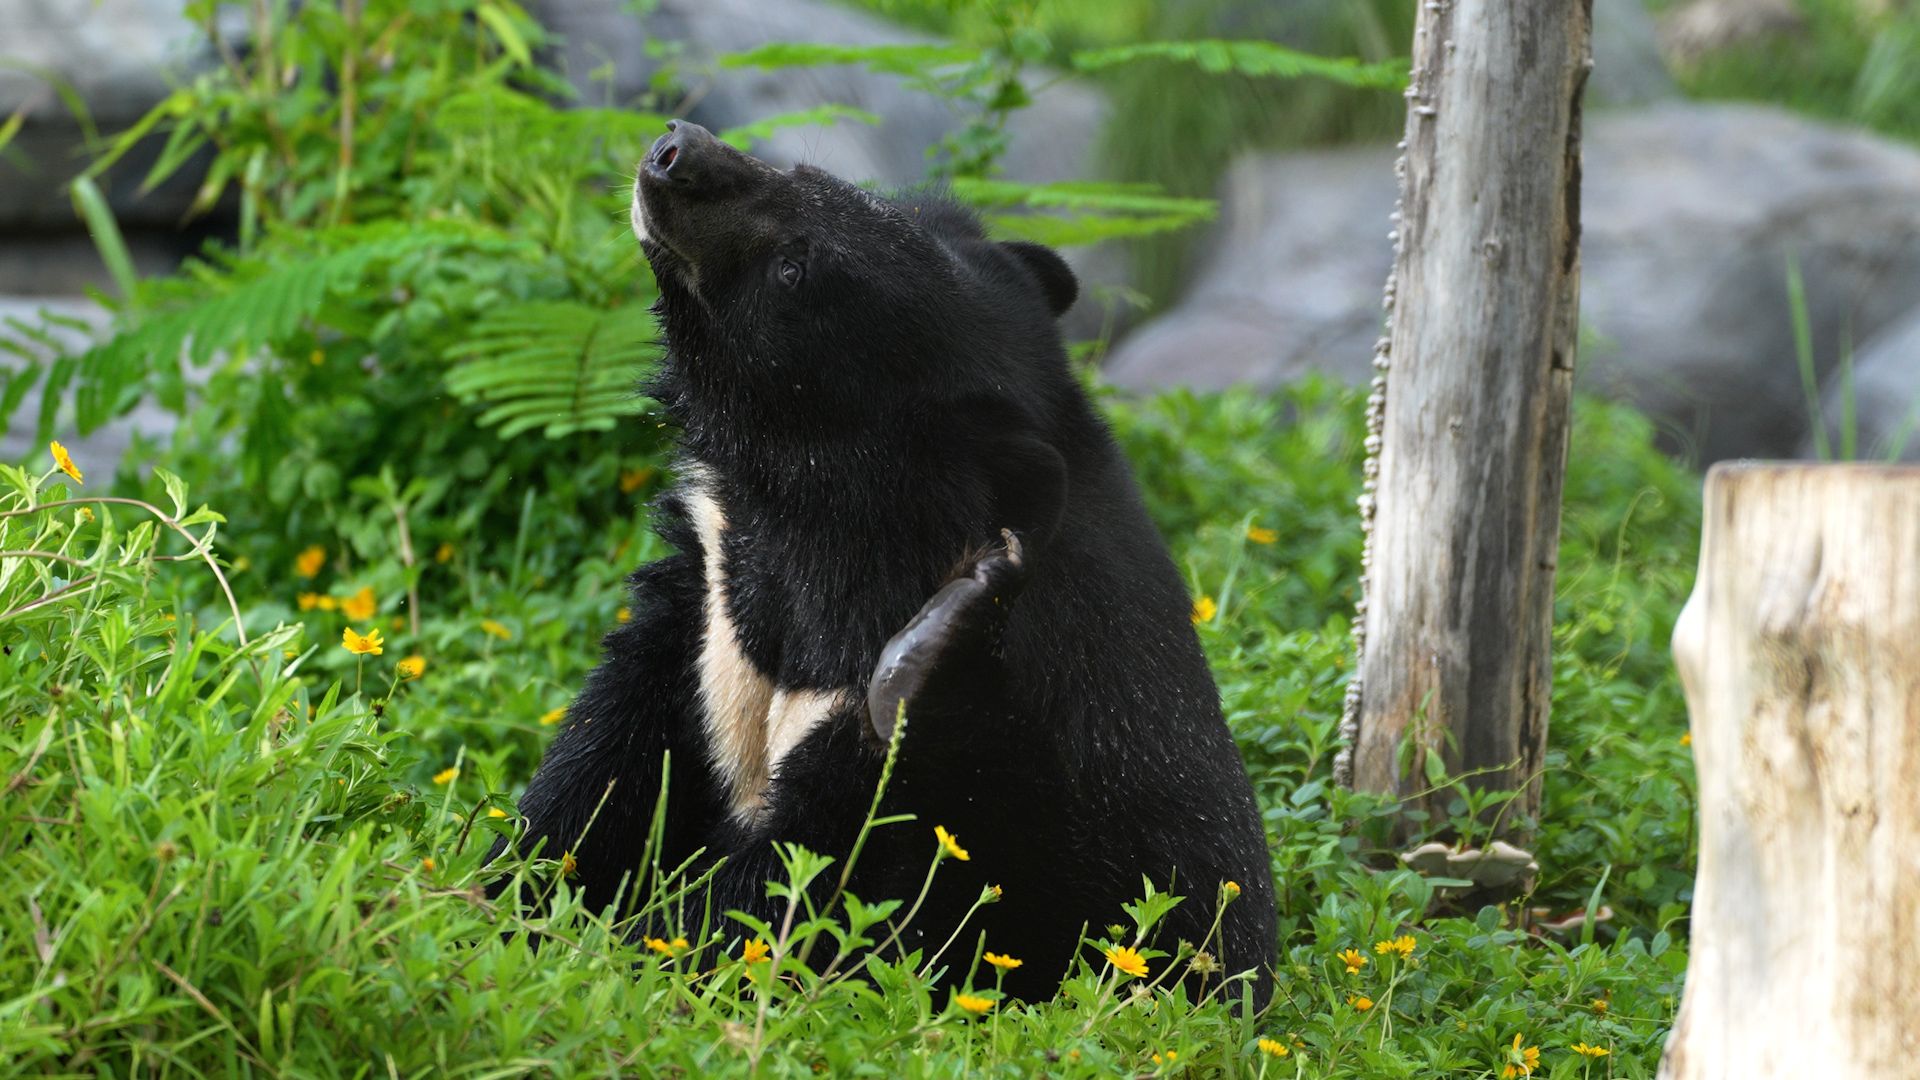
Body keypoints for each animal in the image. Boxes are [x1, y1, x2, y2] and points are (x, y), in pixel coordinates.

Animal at [495, 119, 1276, 1006]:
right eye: (803, 172)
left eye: (793, 268)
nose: (675, 150)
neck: (813, 523)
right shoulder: (707, 602)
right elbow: (606, 764)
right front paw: (513, 890)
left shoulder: (944, 749)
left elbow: (798, 889)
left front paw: (629, 953)